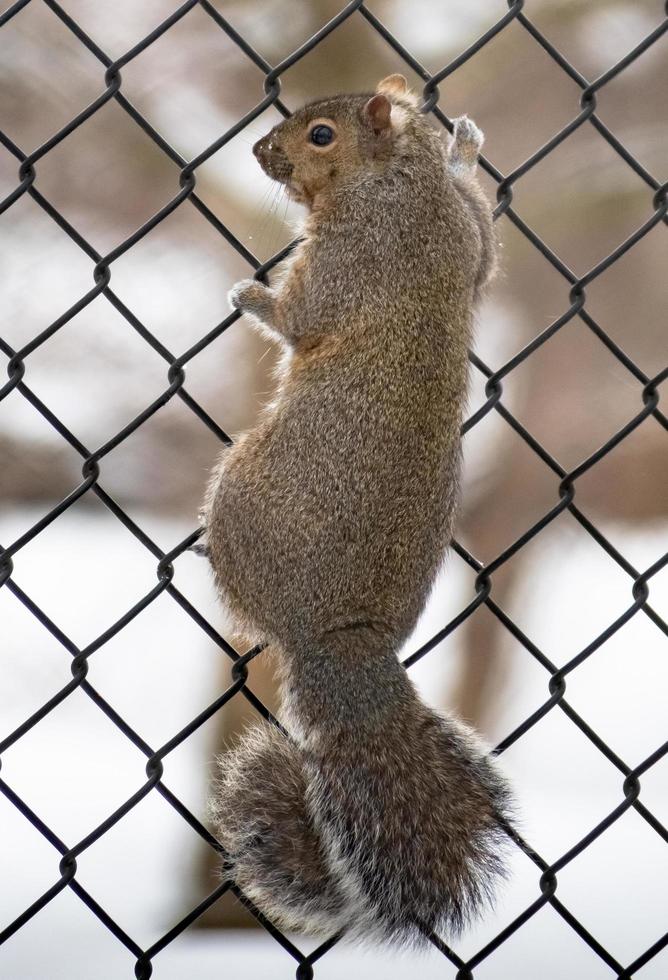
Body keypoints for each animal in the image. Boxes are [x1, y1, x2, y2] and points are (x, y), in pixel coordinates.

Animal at [202, 74, 512, 940]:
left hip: (236, 492)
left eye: (321, 135)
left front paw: (252, 292)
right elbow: (485, 244)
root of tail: (339, 640)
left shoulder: (350, 257)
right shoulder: (467, 239)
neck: (398, 180)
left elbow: (298, 319)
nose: (258, 149)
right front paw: (463, 147)